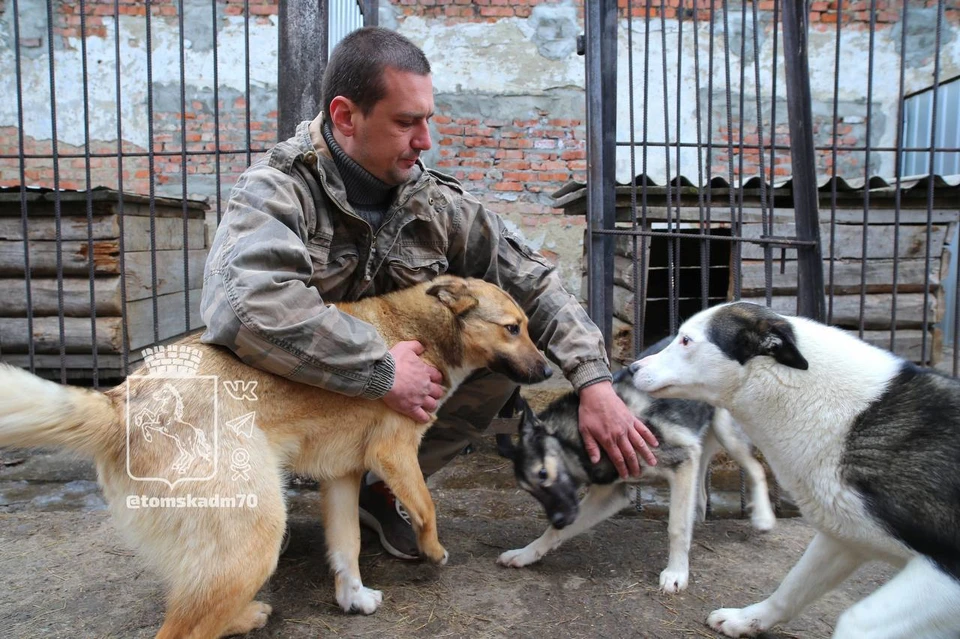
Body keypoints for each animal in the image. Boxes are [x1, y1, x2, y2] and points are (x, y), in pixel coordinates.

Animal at [0, 278, 552, 639]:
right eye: (512, 328)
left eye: (527, 327)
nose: (548, 370)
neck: (422, 329)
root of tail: (121, 403)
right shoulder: (394, 452)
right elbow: (427, 507)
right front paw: (433, 551)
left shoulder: (343, 475)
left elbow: (347, 546)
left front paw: (353, 597)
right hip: (257, 533)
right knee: (180, 631)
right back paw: (244, 618)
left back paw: (244, 616)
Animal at [492, 340, 776, 596]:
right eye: (529, 490)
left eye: (543, 474)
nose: (559, 519)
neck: (583, 436)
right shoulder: (611, 493)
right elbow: (552, 533)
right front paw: (526, 553)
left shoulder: (682, 461)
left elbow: (677, 527)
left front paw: (676, 573)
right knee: (703, 493)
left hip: (726, 433)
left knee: (756, 468)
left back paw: (763, 517)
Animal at [632, 302, 960, 636]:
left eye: (686, 340)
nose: (632, 368)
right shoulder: (843, 538)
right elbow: (790, 589)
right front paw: (744, 620)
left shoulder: (945, 570)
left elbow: (853, 621)